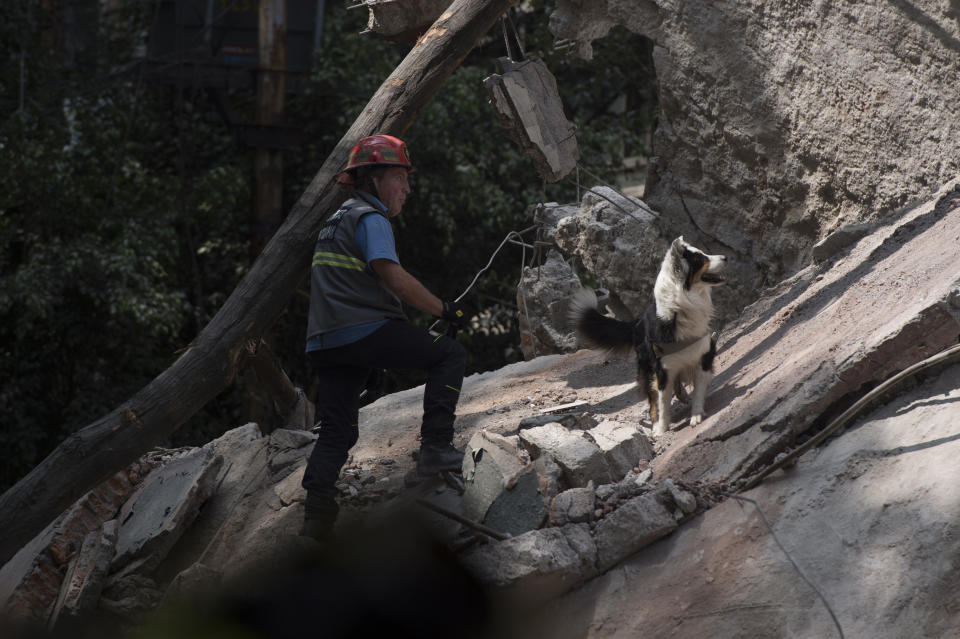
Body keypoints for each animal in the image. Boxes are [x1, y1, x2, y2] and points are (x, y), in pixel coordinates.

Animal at [568, 238, 728, 438]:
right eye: (700, 259)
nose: (726, 257)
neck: (680, 310)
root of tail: (638, 320)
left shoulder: (703, 357)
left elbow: (698, 391)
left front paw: (697, 415)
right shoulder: (662, 370)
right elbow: (662, 403)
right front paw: (661, 428)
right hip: (647, 368)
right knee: (652, 399)